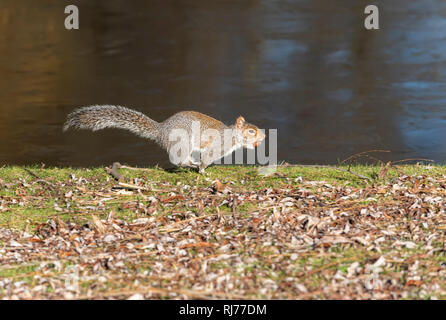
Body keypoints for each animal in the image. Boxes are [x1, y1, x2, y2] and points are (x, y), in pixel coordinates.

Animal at [62, 105, 264, 171]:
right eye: (251, 131)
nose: (264, 135)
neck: (232, 135)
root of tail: (162, 131)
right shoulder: (216, 145)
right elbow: (207, 157)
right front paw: (203, 169)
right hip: (183, 142)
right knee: (178, 161)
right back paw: (192, 164)